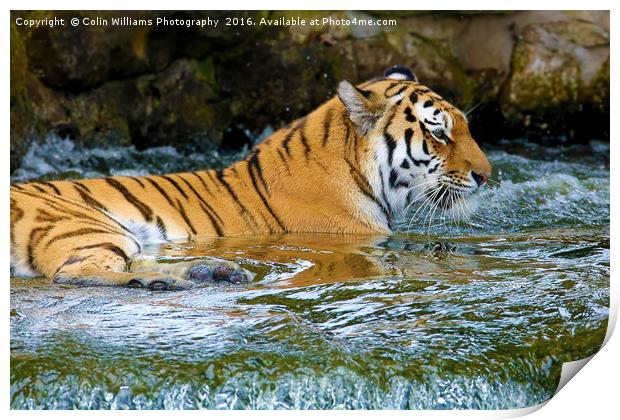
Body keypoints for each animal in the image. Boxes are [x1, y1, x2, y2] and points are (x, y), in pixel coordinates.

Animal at [9, 66, 492, 288]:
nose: (487, 176)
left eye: (466, 127)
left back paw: (213, 271)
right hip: (87, 224)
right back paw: (166, 281)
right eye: (439, 132)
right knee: (76, 272)